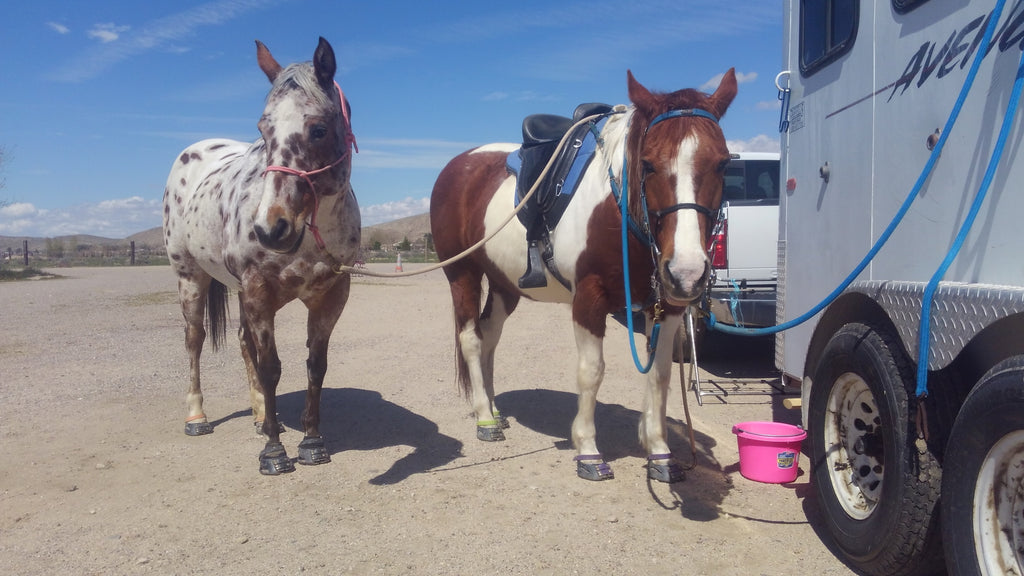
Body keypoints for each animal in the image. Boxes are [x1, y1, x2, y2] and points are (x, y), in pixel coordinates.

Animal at [162, 36, 360, 475]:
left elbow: (315, 365)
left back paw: (259, 416)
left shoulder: (332, 295)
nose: (271, 228)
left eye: (318, 128)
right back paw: (197, 417)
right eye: (263, 129)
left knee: (242, 341)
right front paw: (273, 452)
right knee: (194, 340)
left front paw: (311, 441)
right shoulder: (257, 289)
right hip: (190, 278)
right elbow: (271, 368)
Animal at [425, 68, 737, 479]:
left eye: (723, 164)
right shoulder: (589, 299)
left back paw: (493, 408)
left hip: (504, 284)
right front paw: (588, 450)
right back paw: (484, 419)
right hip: (462, 273)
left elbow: (660, 374)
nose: (688, 272)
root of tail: (458, 165)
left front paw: (659, 452)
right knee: (472, 340)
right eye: (648, 164)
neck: (619, 212)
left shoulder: (665, 306)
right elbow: (592, 371)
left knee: (489, 336)